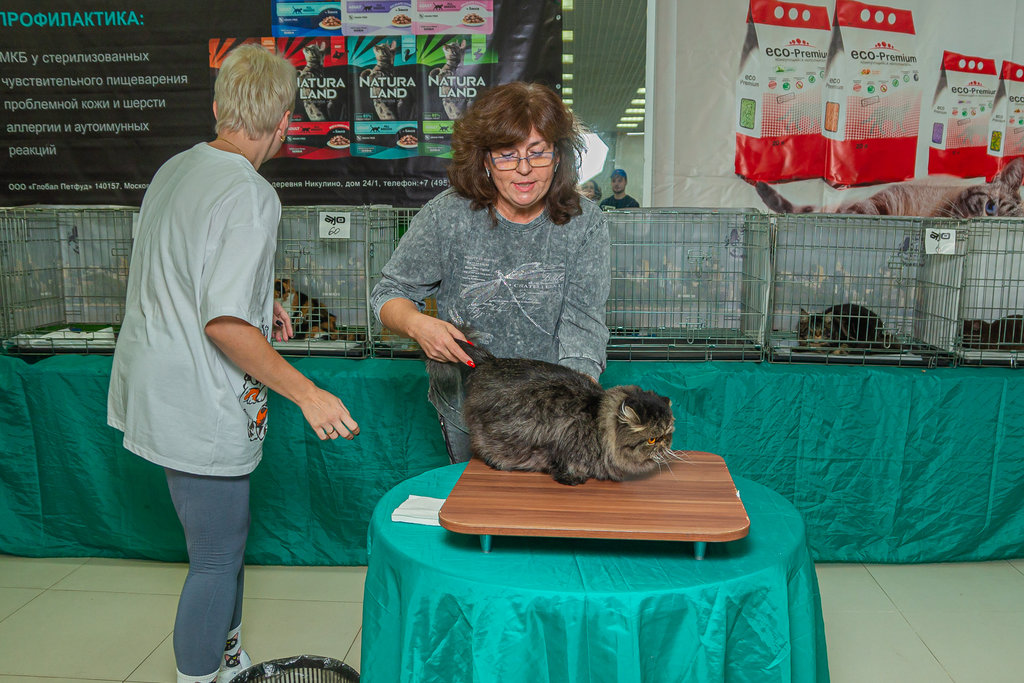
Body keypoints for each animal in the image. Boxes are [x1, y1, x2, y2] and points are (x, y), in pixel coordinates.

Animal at [428, 338, 677, 486]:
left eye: (667, 434)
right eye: (652, 439)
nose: (665, 444)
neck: (597, 421)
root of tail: (490, 362)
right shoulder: (563, 444)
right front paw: (574, 478)